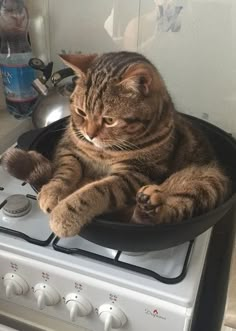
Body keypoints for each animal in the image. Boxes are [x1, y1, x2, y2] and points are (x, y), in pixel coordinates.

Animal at [0, 50, 230, 239]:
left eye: (109, 120)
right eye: (81, 112)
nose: (90, 134)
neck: (104, 150)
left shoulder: (136, 173)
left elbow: (95, 192)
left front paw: (64, 214)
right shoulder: (69, 149)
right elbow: (65, 172)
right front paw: (51, 192)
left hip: (207, 183)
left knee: (160, 217)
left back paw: (148, 207)